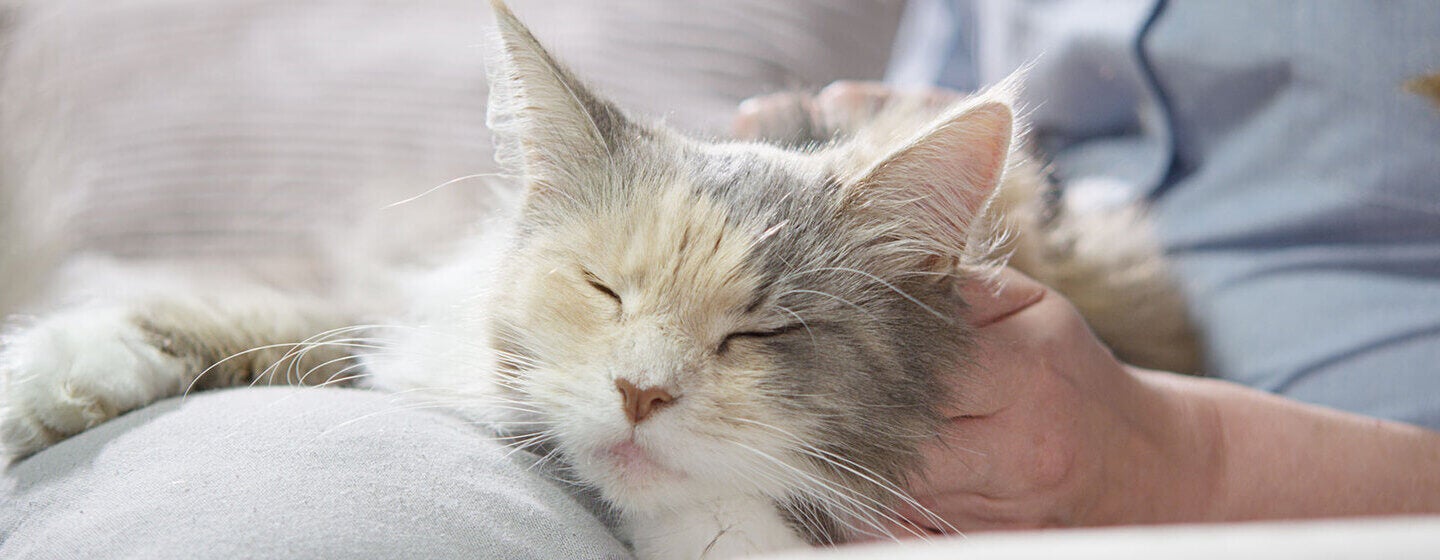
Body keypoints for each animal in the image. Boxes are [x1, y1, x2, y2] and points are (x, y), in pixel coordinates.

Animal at [0, 2, 1192, 555]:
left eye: (761, 334)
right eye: (603, 289)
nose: (640, 392)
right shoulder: (394, 315)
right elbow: (205, 317)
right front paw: (39, 382)